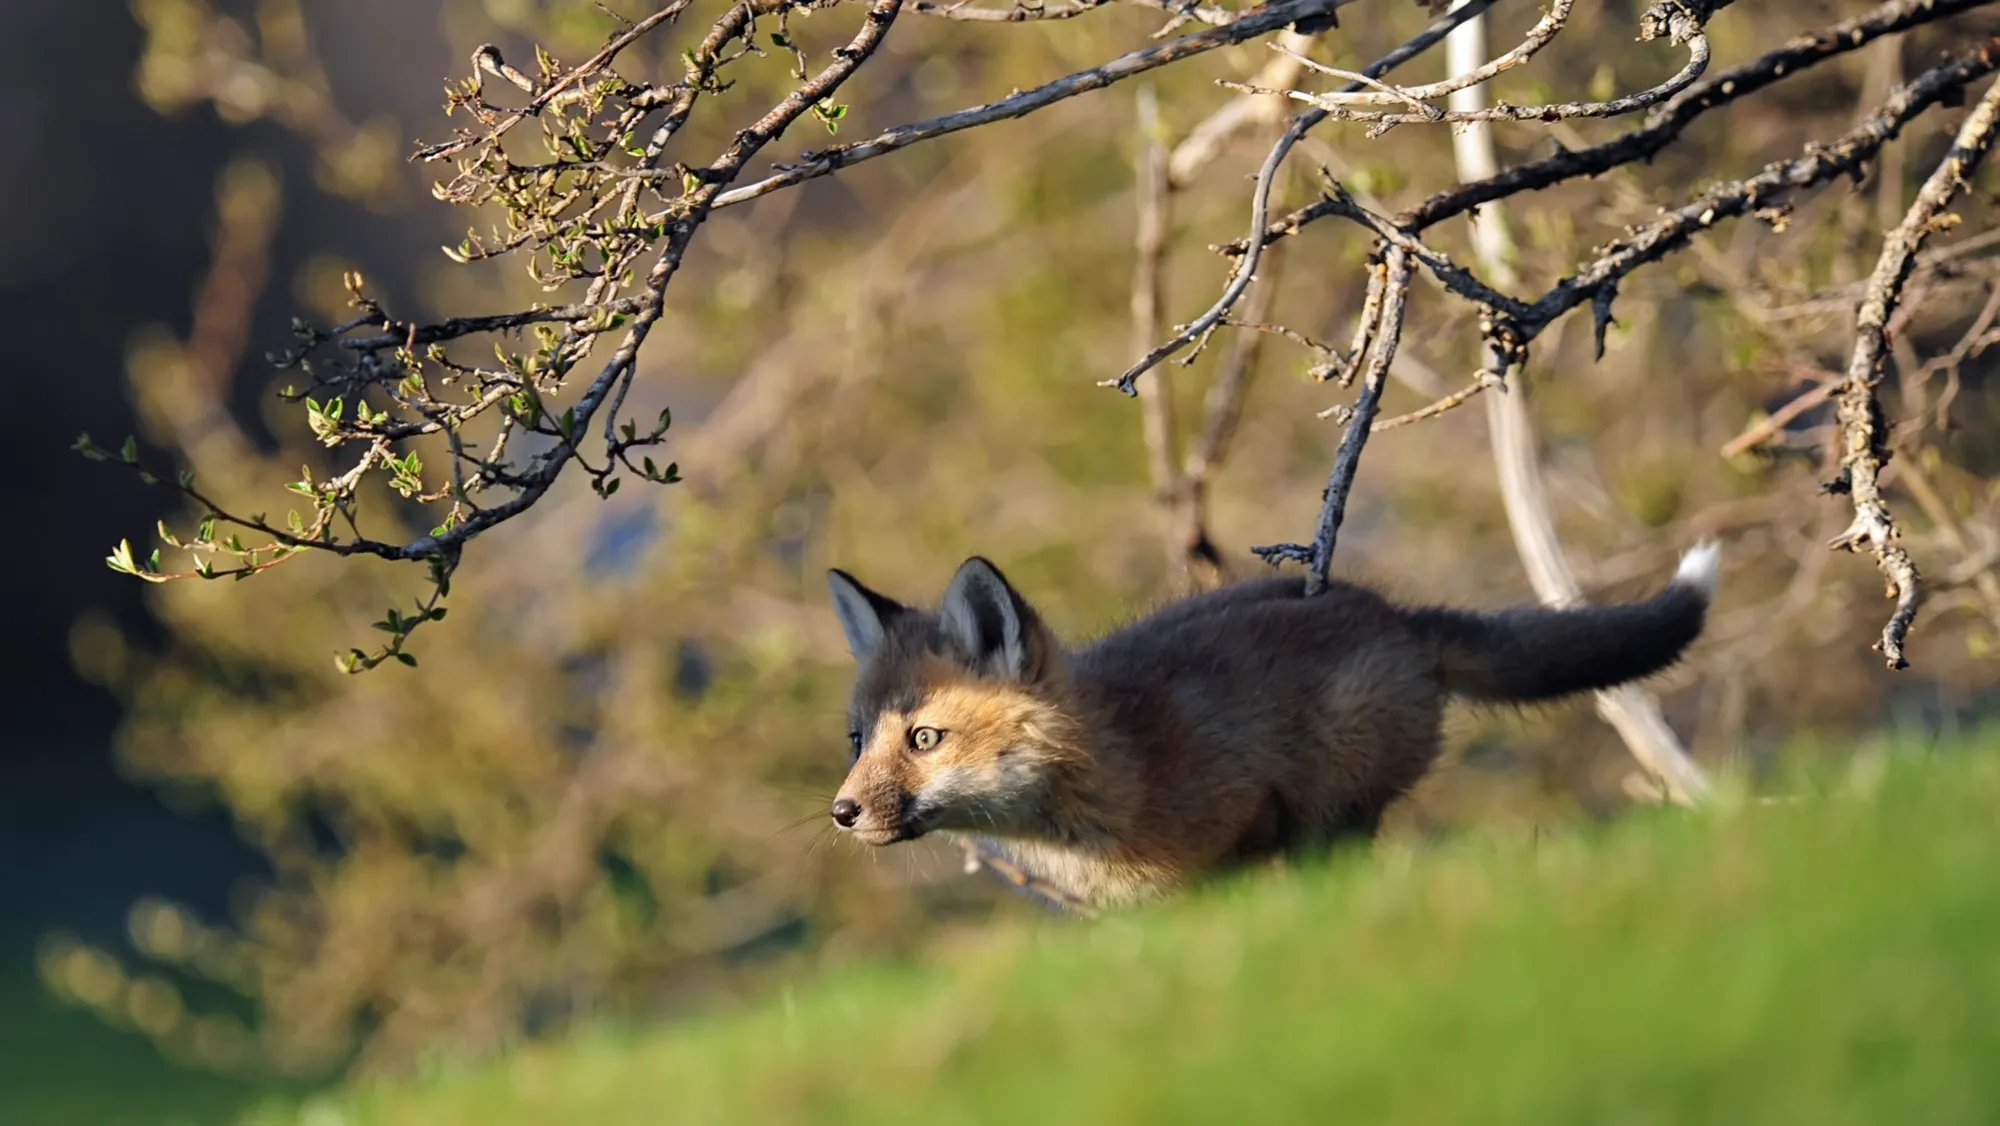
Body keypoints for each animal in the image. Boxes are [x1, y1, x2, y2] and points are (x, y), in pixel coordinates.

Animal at [824, 543, 1719, 911]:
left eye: (925, 739)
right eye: (858, 740)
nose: (841, 813)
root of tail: (1392, 614)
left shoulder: (1246, 816)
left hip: (1333, 812)